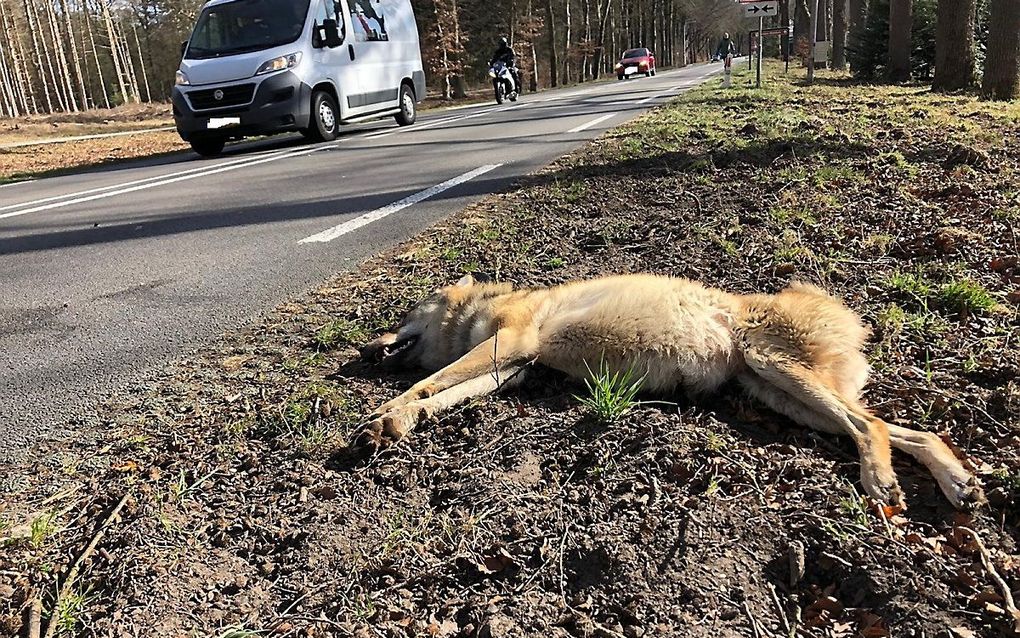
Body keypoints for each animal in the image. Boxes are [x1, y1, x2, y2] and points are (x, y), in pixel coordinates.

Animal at [361, 271, 987, 510]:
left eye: (402, 313)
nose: (366, 347)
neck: (484, 311)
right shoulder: (507, 367)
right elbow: (437, 394)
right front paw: (398, 423)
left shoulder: (508, 345)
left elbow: (424, 382)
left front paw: (385, 413)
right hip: (784, 399)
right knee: (906, 431)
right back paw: (957, 482)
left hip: (779, 376)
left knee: (872, 425)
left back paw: (881, 482)